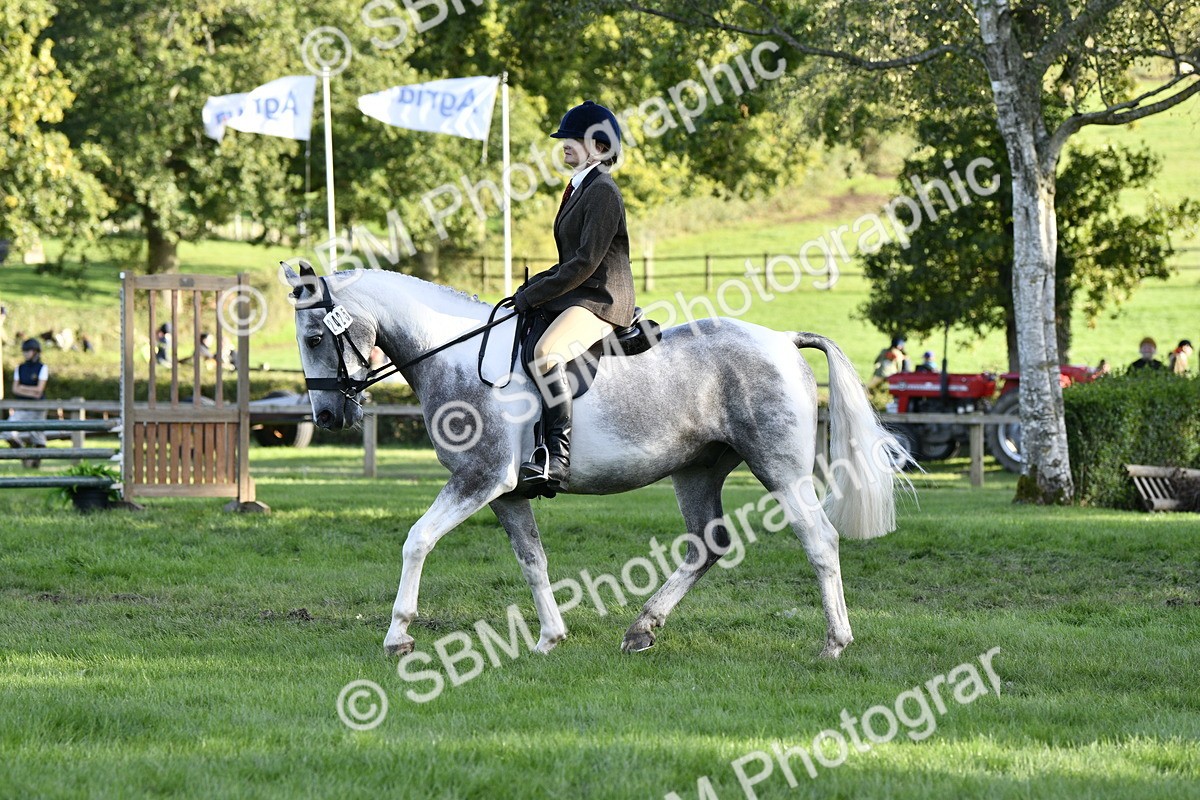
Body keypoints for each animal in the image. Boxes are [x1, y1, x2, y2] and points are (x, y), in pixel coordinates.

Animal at [281, 262, 904, 658]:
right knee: (707, 545)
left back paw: (834, 643)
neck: (456, 357)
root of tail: (782, 338)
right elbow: (533, 560)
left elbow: (417, 540)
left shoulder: (479, 478)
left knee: (819, 540)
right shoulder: (507, 493)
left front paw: (399, 636)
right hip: (696, 469)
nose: (328, 416)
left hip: (780, 468)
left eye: (313, 337)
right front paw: (550, 638)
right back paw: (641, 630)